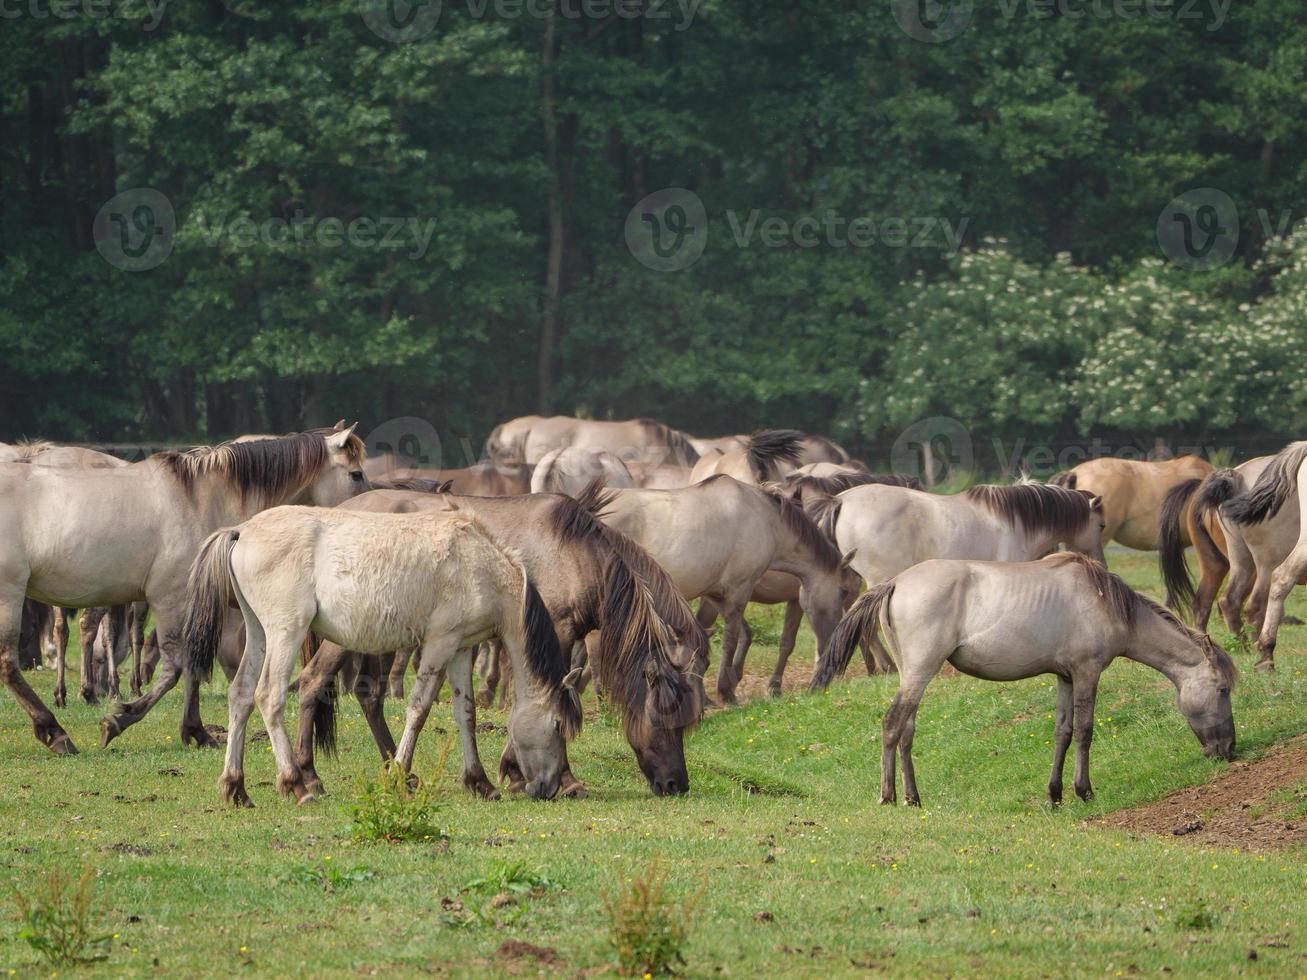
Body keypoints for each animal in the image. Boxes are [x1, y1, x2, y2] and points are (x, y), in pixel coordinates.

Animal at [181, 506, 580, 804]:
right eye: (558, 726)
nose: (551, 788)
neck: (479, 562)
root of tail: (242, 530)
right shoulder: (440, 643)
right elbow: (418, 709)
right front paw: (401, 774)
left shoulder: (462, 648)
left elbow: (465, 713)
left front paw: (479, 782)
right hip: (285, 632)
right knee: (269, 696)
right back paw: (296, 784)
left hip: (260, 632)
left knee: (241, 695)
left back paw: (236, 787)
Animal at [295, 483, 705, 799]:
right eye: (664, 720)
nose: (677, 784)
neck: (574, 553)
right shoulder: (553, 633)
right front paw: (544, 776)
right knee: (313, 683)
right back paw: (309, 778)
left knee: (370, 696)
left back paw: (402, 775)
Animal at [810, 556, 1239, 810]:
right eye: (1223, 689)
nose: (1228, 750)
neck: (1106, 601)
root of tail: (895, 582)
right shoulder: (1087, 673)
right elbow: (1085, 731)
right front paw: (1084, 790)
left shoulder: (1065, 677)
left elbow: (1062, 732)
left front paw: (1055, 794)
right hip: (919, 674)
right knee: (892, 725)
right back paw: (888, 796)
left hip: (911, 676)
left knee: (906, 731)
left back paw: (913, 797)